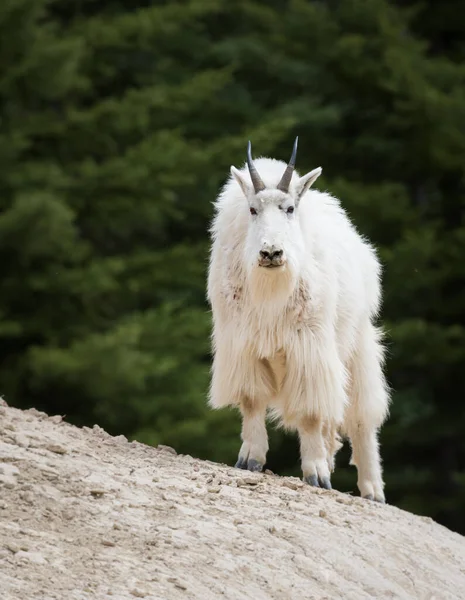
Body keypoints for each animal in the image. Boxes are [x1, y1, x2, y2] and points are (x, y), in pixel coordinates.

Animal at [206, 138, 388, 500]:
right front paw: (250, 459)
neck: (271, 290)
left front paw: (315, 473)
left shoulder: (310, 347)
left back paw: (372, 488)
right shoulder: (242, 344)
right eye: (252, 210)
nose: (271, 253)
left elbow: (309, 412)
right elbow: (252, 399)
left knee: (361, 413)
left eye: (289, 209)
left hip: (356, 344)